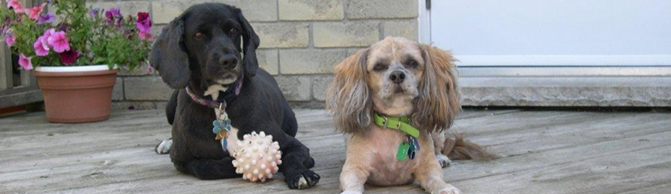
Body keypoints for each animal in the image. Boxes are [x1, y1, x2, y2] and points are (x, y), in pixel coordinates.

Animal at [149, 3, 320, 189]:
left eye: (233, 29)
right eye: (198, 35)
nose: (229, 60)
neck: (219, 102)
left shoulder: (292, 143)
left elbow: (293, 156)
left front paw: (301, 173)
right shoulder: (181, 160)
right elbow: (207, 167)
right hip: (170, 105)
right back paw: (166, 142)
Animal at [328, 36, 464, 194]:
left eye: (412, 62)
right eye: (379, 66)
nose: (397, 75)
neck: (394, 121)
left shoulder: (427, 167)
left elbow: (435, 179)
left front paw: (444, 187)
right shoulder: (354, 168)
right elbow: (352, 183)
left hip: (437, 134)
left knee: (437, 148)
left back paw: (441, 158)